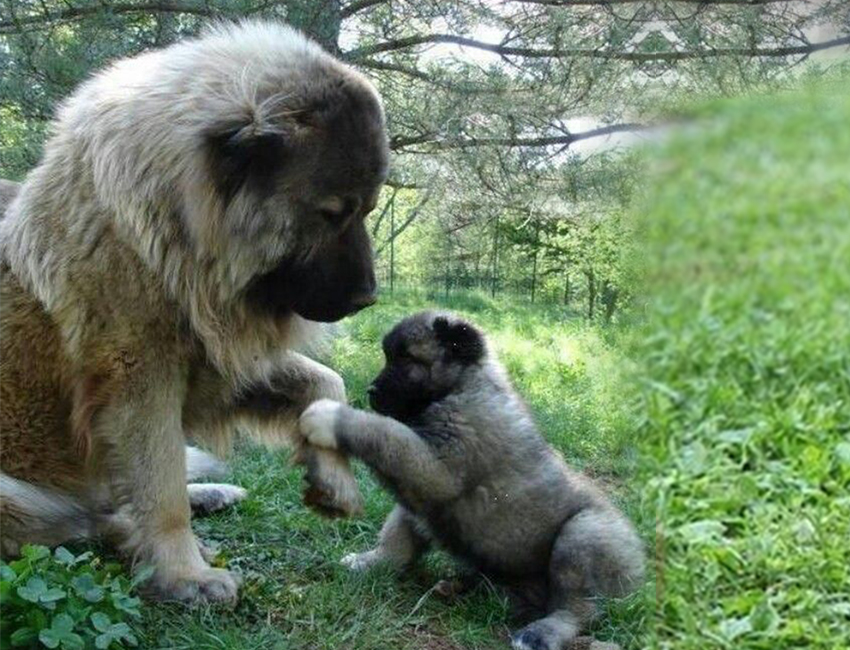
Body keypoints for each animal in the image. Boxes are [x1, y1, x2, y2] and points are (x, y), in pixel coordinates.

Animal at [0, 21, 390, 604]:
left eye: (367, 209)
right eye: (331, 213)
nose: (367, 298)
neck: (176, 233)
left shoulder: (219, 356)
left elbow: (327, 382)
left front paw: (333, 476)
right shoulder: (141, 380)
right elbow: (160, 489)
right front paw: (184, 573)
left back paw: (213, 493)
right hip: (13, 494)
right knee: (86, 522)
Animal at [298, 312, 644, 644]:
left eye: (407, 359)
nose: (371, 391)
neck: (463, 385)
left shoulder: (435, 469)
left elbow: (384, 432)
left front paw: (330, 417)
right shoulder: (419, 495)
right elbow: (397, 538)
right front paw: (372, 563)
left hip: (584, 534)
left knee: (579, 609)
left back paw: (541, 632)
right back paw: (460, 587)